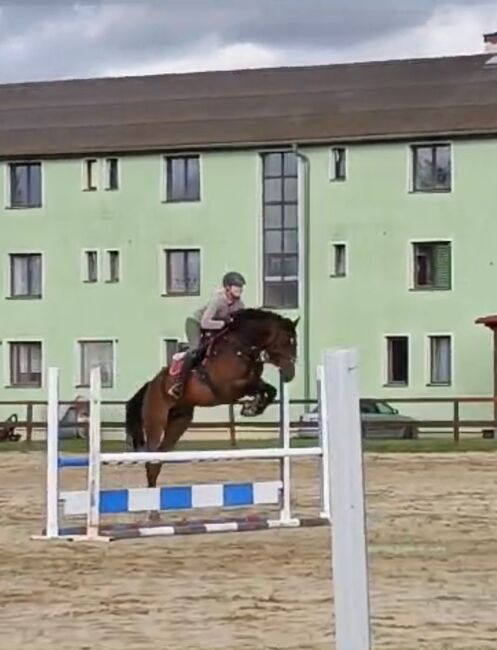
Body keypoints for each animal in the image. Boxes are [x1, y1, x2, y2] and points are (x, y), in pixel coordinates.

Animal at [125, 306, 298, 498]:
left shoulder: (251, 382)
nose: (290, 374)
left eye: (295, 342)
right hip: (156, 420)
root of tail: (150, 385)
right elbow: (253, 387)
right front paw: (250, 407)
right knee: (151, 456)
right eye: (285, 341)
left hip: (179, 421)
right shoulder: (227, 388)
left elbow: (270, 389)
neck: (241, 346)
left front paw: (253, 407)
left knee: (158, 459)